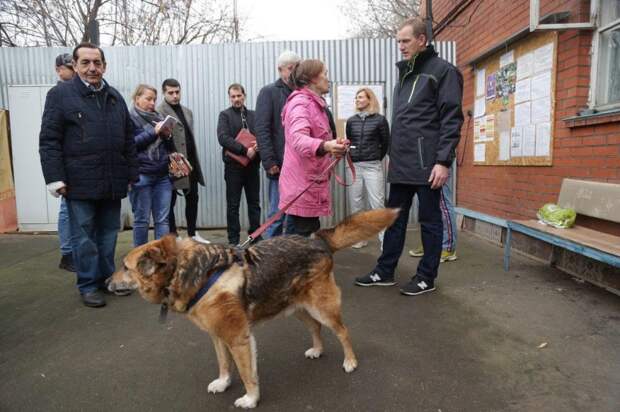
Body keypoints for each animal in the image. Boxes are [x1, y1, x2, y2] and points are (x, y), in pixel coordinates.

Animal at [109, 208, 400, 408]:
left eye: (125, 266)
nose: (105, 282)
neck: (188, 270)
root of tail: (317, 239)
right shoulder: (218, 336)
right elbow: (224, 364)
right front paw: (223, 383)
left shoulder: (238, 338)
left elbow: (247, 373)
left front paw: (250, 399)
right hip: (298, 309)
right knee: (316, 328)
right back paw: (317, 350)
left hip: (322, 307)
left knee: (342, 331)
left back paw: (350, 361)